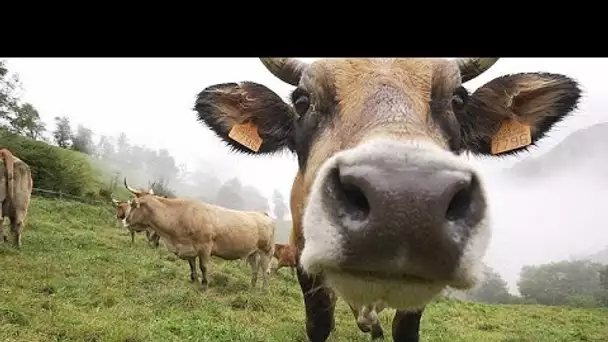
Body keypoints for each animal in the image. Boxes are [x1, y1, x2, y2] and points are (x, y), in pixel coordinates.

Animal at [123, 178, 276, 290]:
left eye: (134, 204)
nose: (125, 221)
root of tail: (263, 214)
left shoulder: (205, 247)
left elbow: (203, 267)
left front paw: (205, 283)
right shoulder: (189, 247)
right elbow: (192, 265)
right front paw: (194, 279)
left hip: (266, 251)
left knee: (266, 271)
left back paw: (263, 290)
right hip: (252, 252)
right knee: (255, 269)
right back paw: (252, 286)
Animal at [195, 57, 584, 340]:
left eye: (458, 99)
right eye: (303, 101)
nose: (406, 202)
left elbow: (402, 329)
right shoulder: (304, 261)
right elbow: (320, 325)